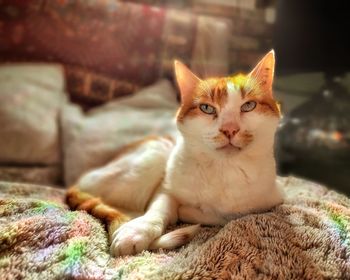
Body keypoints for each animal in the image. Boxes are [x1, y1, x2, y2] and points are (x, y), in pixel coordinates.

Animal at [66, 49, 284, 256]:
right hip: (155, 154)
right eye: (207, 108)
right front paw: (136, 231)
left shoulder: (273, 200)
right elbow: (158, 210)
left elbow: (232, 215)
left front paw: (192, 212)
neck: (225, 170)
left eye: (248, 105)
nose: (229, 129)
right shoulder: (165, 188)